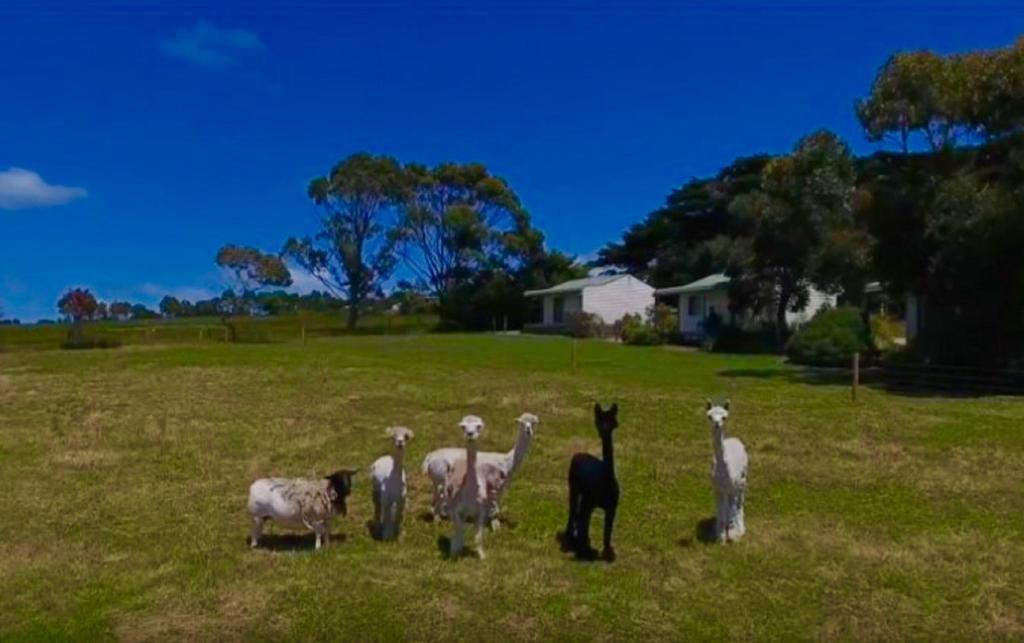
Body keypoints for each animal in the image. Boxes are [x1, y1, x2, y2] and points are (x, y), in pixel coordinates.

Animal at [442, 417, 505, 556]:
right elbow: (459, 529)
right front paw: (454, 551)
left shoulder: (481, 511)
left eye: (479, 426)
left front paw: (482, 555)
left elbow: (478, 536)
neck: (470, 494)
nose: (470, 434)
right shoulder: (455, 509)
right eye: (463, 426)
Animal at [565, 403, 618, 561]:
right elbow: (584, 523)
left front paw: (607, 551)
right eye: (598, 421)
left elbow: (607, 532)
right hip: (574, 488)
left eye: (612, 421)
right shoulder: (590, 503)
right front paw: (584, 550)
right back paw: (570, 538)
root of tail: (578, 454)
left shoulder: (612, 507)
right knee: (573, 511)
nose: (604, 431)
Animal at [708, 397, 749, 540]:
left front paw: (734, 534)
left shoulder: (732, 487)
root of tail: (734, 439)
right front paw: (720, 535)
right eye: (709, 416)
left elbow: (732, 508)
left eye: (724, 417)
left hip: (742, 480)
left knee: (738, 503)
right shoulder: (718, 488)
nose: (717, 424)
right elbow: (721, 510)